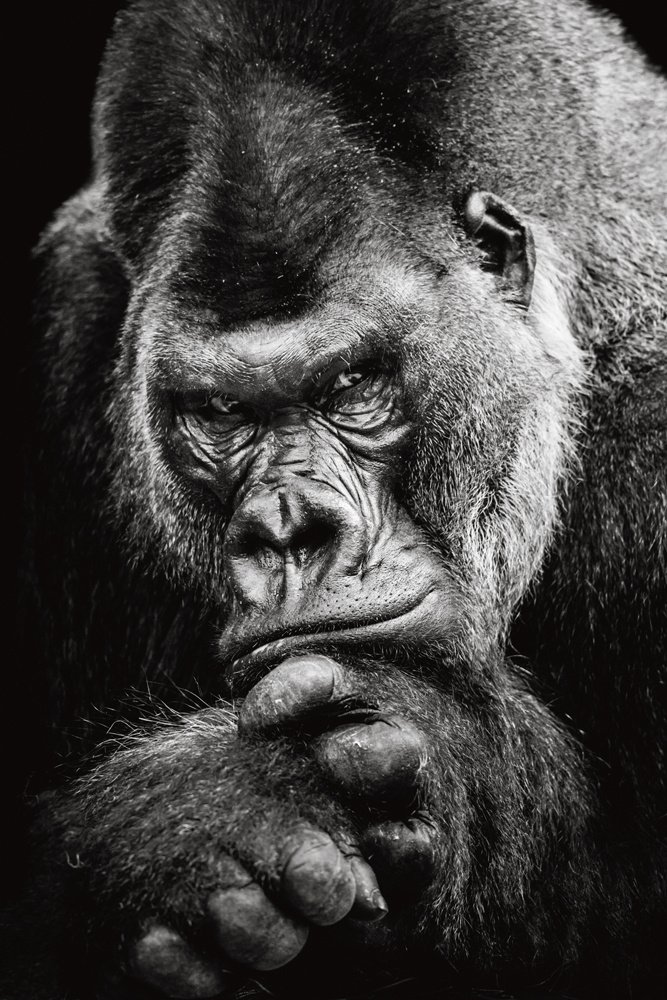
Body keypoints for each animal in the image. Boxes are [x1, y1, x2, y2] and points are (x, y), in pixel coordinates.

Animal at [6, 0, 666, 998]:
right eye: (220, 413)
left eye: (353, 386)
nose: (288, 529)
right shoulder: (66, 329)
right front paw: (190, 825)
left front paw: (454, 759)